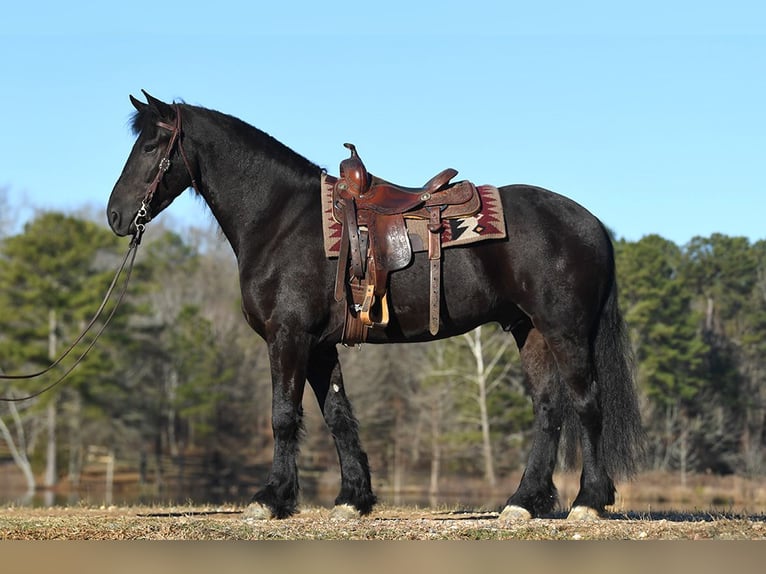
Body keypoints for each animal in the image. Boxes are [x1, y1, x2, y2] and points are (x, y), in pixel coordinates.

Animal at [108, 92, 644, 524]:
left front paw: (271, 499)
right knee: (549, 408)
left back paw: (588, 502)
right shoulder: (320, 345)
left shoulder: (289, 337)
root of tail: (590, 223)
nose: (116, 215)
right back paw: (523, 502)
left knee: (586, 404)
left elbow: (284, 416)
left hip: (564, 330)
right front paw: (353, 499)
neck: (282, 218)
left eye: (152, 146)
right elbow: (337, 415)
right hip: (528, 330)